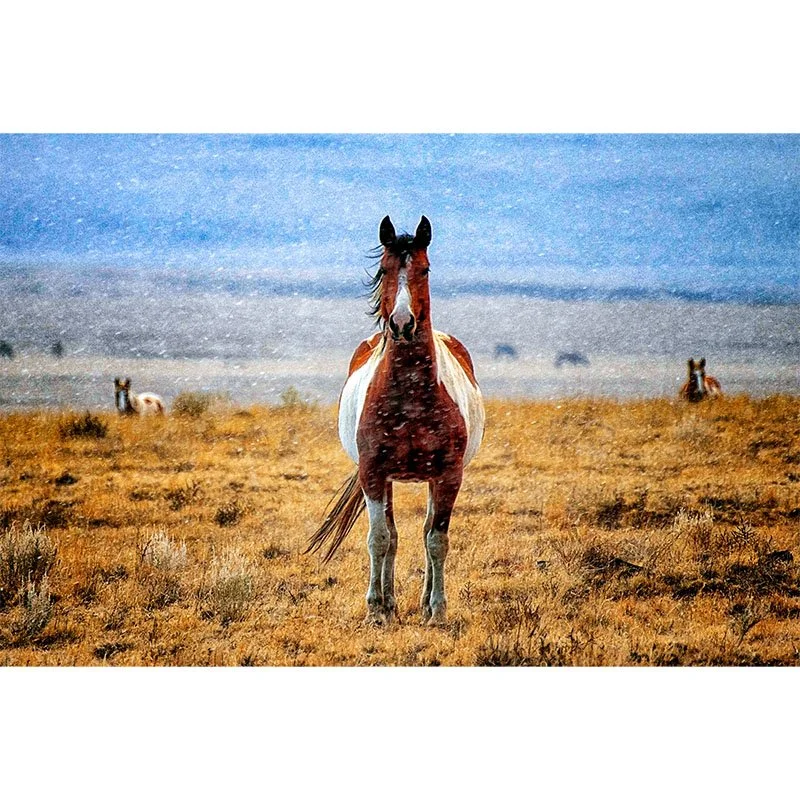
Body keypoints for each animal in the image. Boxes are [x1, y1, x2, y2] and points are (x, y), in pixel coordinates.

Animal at [305, 215, 485, 626]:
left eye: (425, 269)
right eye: (385, 269)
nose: (402, 323)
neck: (411, 398)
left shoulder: (449, 475)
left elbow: (437, 540)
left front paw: (437, 611)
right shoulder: (373, 472)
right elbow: (380, 539)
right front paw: (376, 609)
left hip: (431, 481)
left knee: (424, 532)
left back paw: (422, 602)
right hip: (385, 480)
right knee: (392, 534)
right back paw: (389, 603)